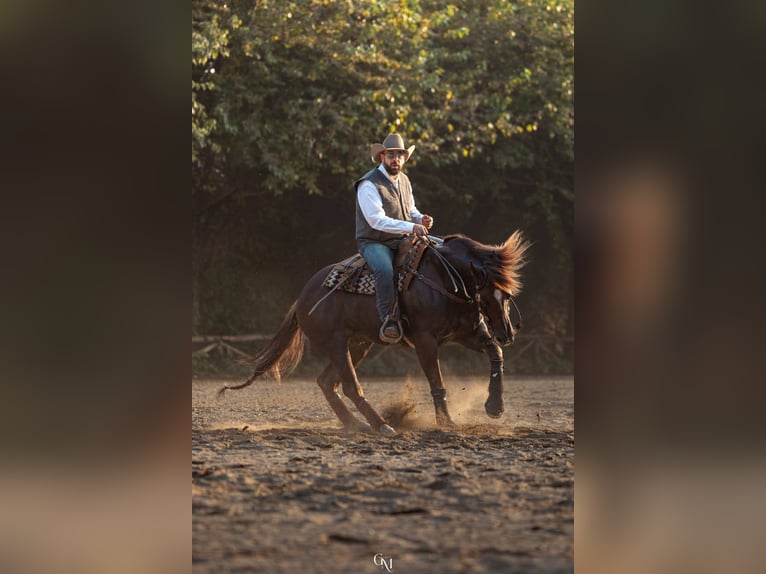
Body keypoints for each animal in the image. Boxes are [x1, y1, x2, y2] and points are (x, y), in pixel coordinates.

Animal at [218, 231, 529, 435]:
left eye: (507, 295)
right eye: (487, 294)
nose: (507, 333)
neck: (444, 278)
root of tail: (302, 298)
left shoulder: (468, 333)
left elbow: (495, 354)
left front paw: (494, 406)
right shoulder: (425, 341)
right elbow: (436, 381)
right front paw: (446, 422)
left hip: (358, 344)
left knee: (326, 382)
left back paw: (356, 424)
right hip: (336, 344)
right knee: (350, 386)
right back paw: (381, 425)